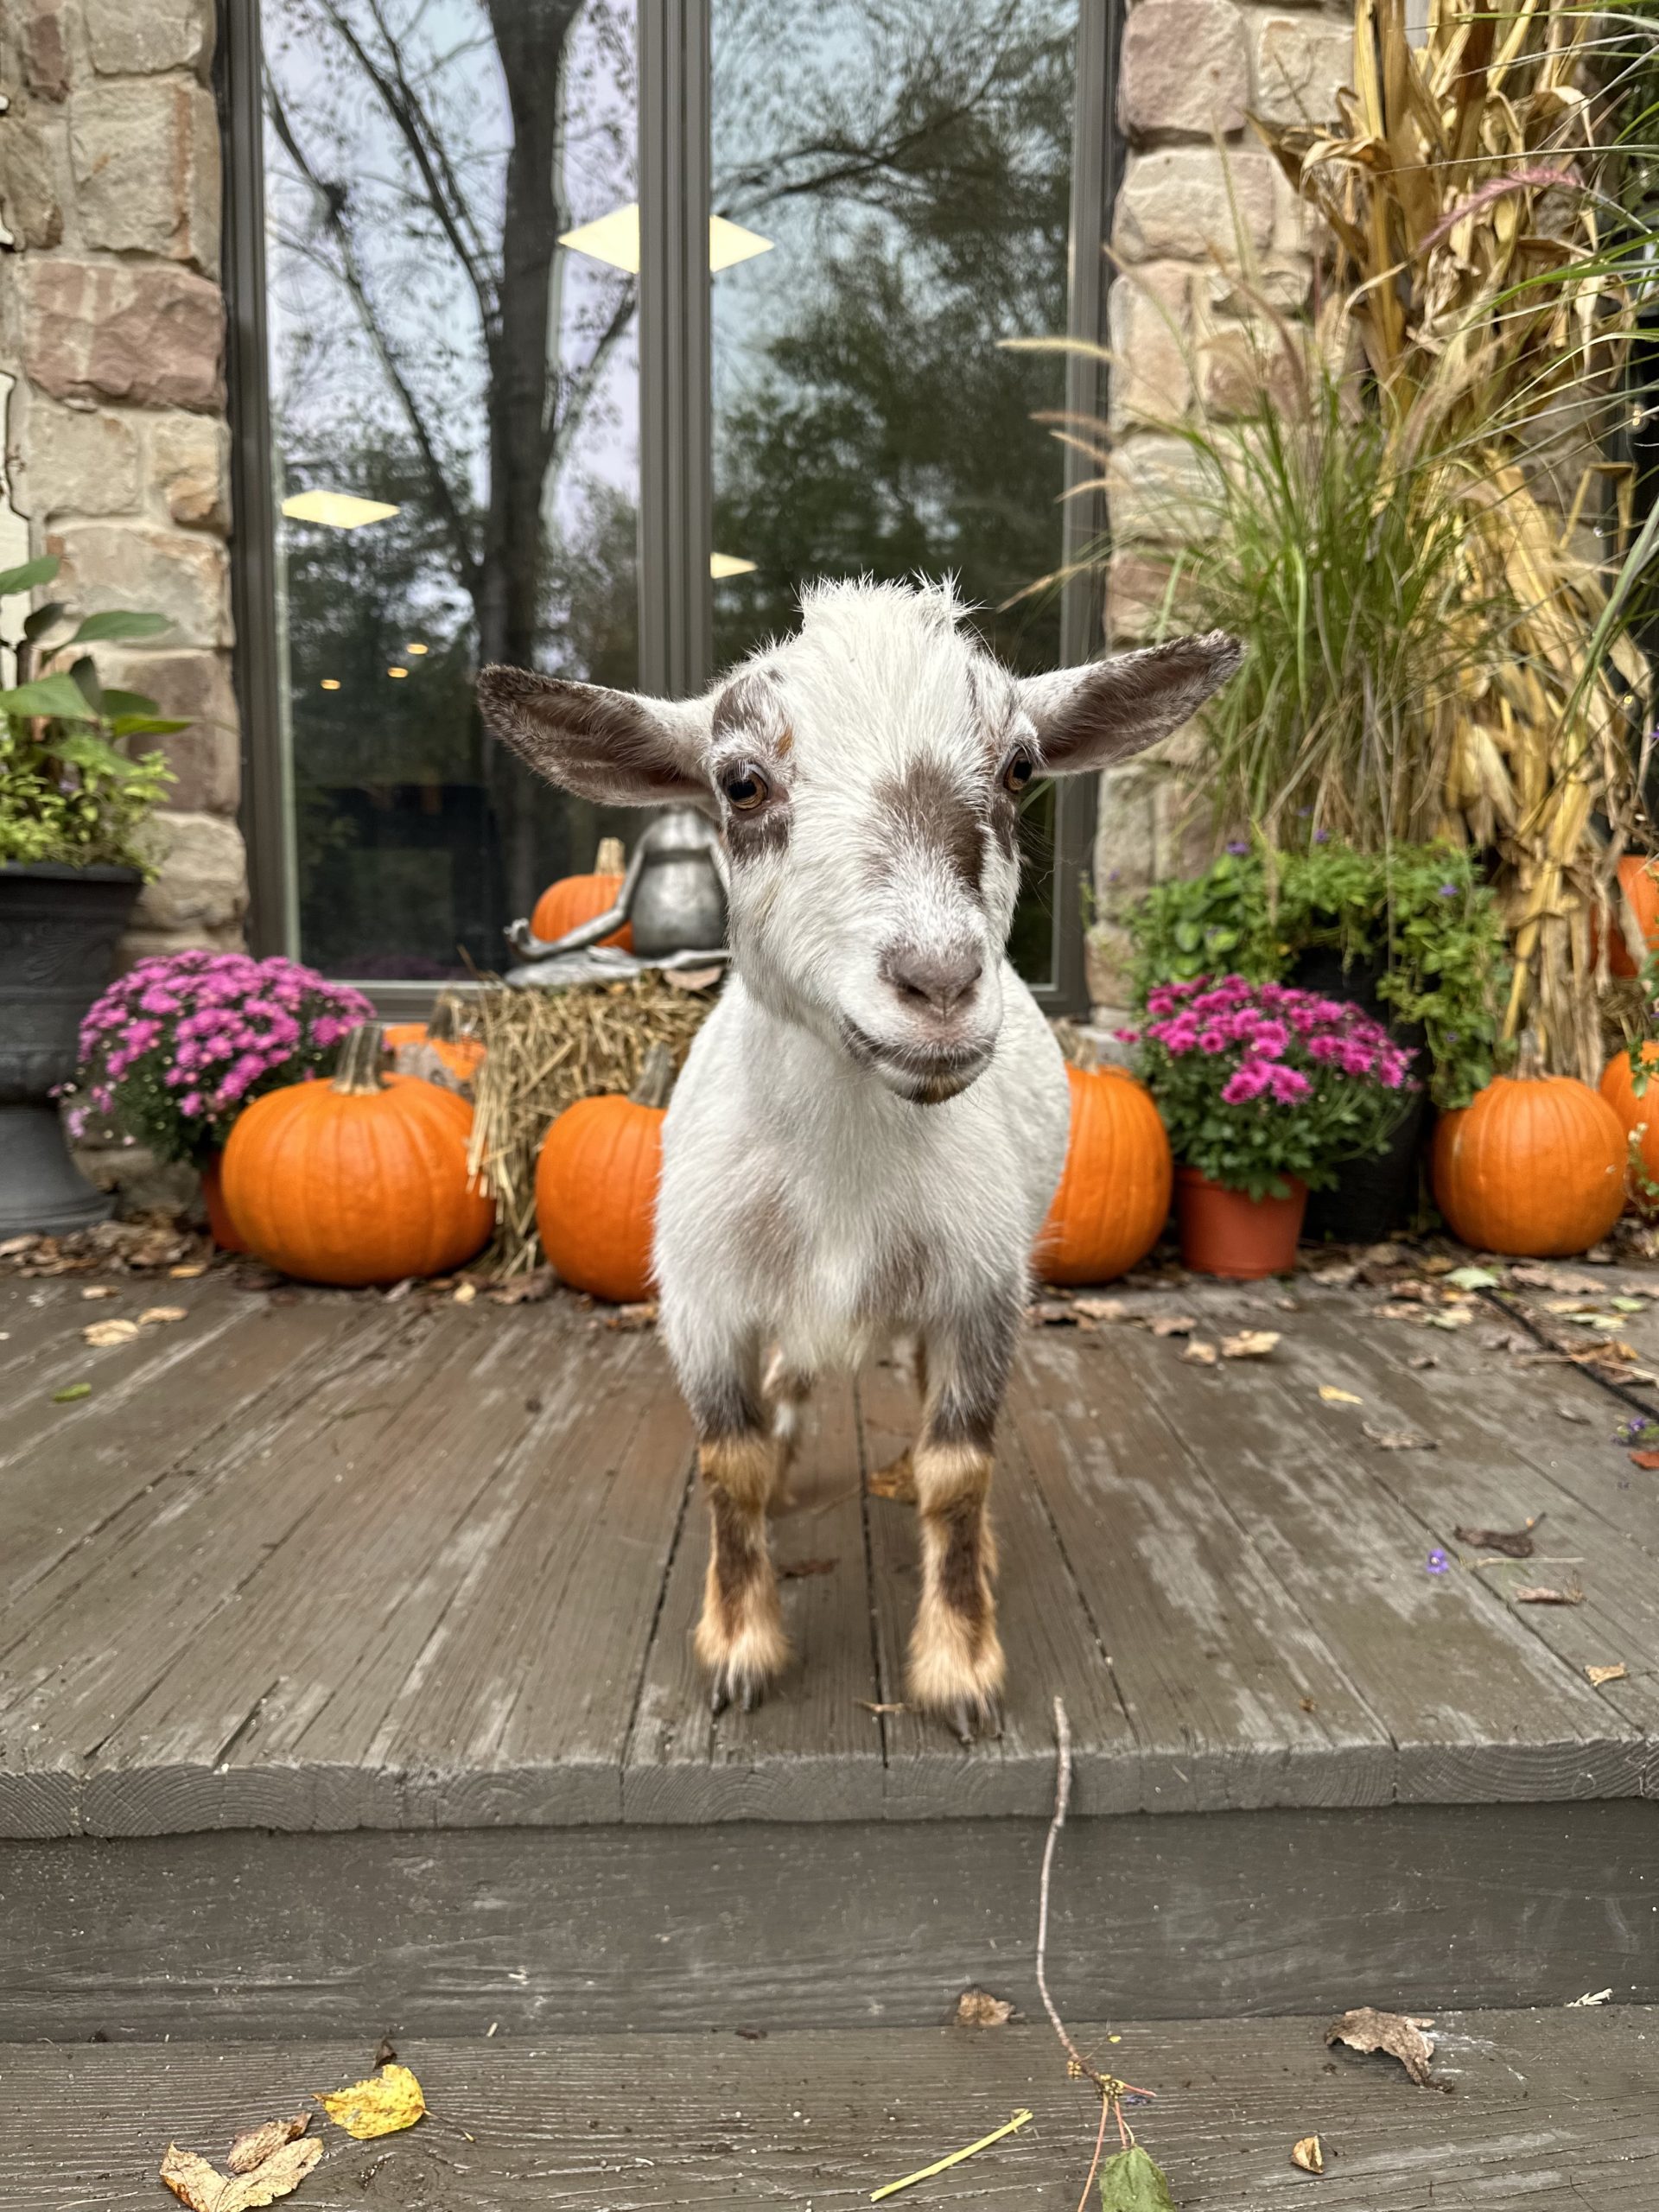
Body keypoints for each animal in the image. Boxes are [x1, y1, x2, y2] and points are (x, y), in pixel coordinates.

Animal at [479, 580, 1239, 1741]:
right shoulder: (704, 1302)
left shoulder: (979, 1292)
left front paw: (960, 1668)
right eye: (740, 782)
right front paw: (738, 1649)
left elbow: (956, 1473)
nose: (939, 982)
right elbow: (732, 1464)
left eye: (1022, 769)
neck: (843, 1174)